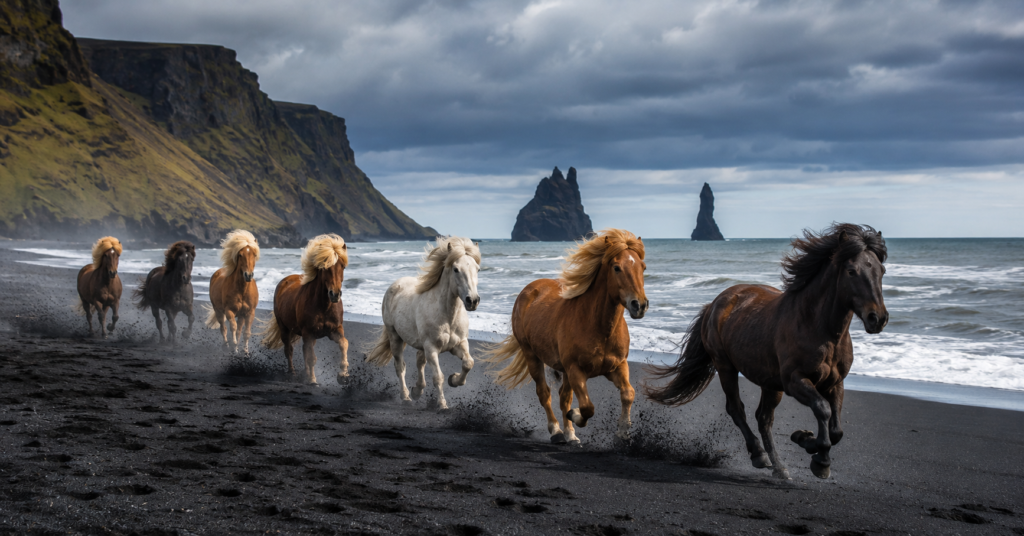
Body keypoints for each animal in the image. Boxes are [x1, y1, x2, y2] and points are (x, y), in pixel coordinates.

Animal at [261, 234, 349, 385]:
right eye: (325, 268)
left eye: (342, 266)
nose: (335, 294)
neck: (324, 306)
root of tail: (284, 281)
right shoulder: (308, 333)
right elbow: (311, 358)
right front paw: (313, 381)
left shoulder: (335, 330)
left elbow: (344, 344)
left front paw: (343, 375)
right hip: (285, 329)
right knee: (289, 350)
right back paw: (293, 372)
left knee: (304, 351)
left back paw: (305, 373)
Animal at [365, 236, 481, 410]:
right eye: (456, 269)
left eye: (478, 269)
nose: (472, 301)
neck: (448, 317)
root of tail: (395, 284)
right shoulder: (432, 348)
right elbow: (438, 376)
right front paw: (442, 404)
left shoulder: (459, 343)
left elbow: (468, 363)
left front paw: (453, 380)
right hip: (395, 337)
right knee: (400, 367)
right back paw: (406, 396)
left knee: (419, 361)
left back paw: (417, 391)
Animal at [485, 229, 648, 445]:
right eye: (616, 268)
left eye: (643, 267)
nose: (639, 305)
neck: (598, 327)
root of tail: (530, 289)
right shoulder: (575, 370)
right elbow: (587, 407)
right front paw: (575, 416)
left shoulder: (617, 366)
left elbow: (628, 393)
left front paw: (622, 433)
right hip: (532, 356)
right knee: (545, 394)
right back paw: (557, 432)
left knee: (563, 396)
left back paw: (570, 434)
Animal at [644, 223, 888, 479]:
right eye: (851, 271)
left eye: (882, 270)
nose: (878, 318)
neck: (818, 327)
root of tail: (716, 302)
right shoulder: (794, 381)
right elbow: (822, 410)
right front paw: (819, 458)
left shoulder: (835, 383)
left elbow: (836, 429)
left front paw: (806, 441)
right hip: (726, 367)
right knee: (737, 409)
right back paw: (759, 455)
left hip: (770, 383)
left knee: (763, 418)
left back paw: (779, 467)